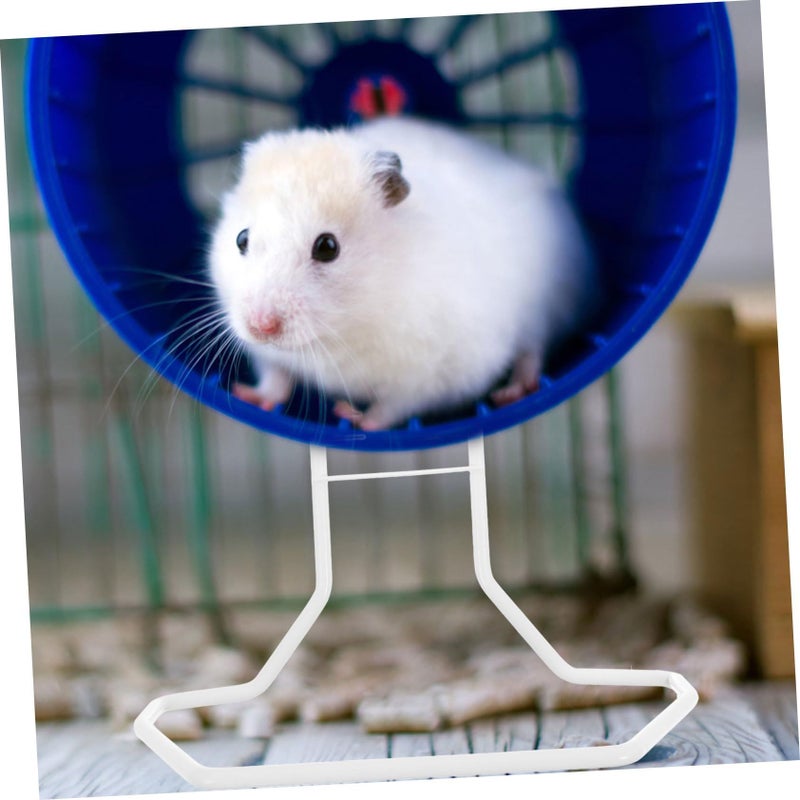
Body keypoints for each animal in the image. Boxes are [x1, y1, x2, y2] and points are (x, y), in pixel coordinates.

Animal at [209, 116, 597, 431]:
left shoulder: (438, 371)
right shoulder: (268, 355)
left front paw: (353, 417)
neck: (339, 332)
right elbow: (275, 378)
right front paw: (245, 395)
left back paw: (513, 392)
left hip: (550, 302)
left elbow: (394, 406)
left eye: (327, 247)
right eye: (241, 239)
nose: (260, 326)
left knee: (533, 350)